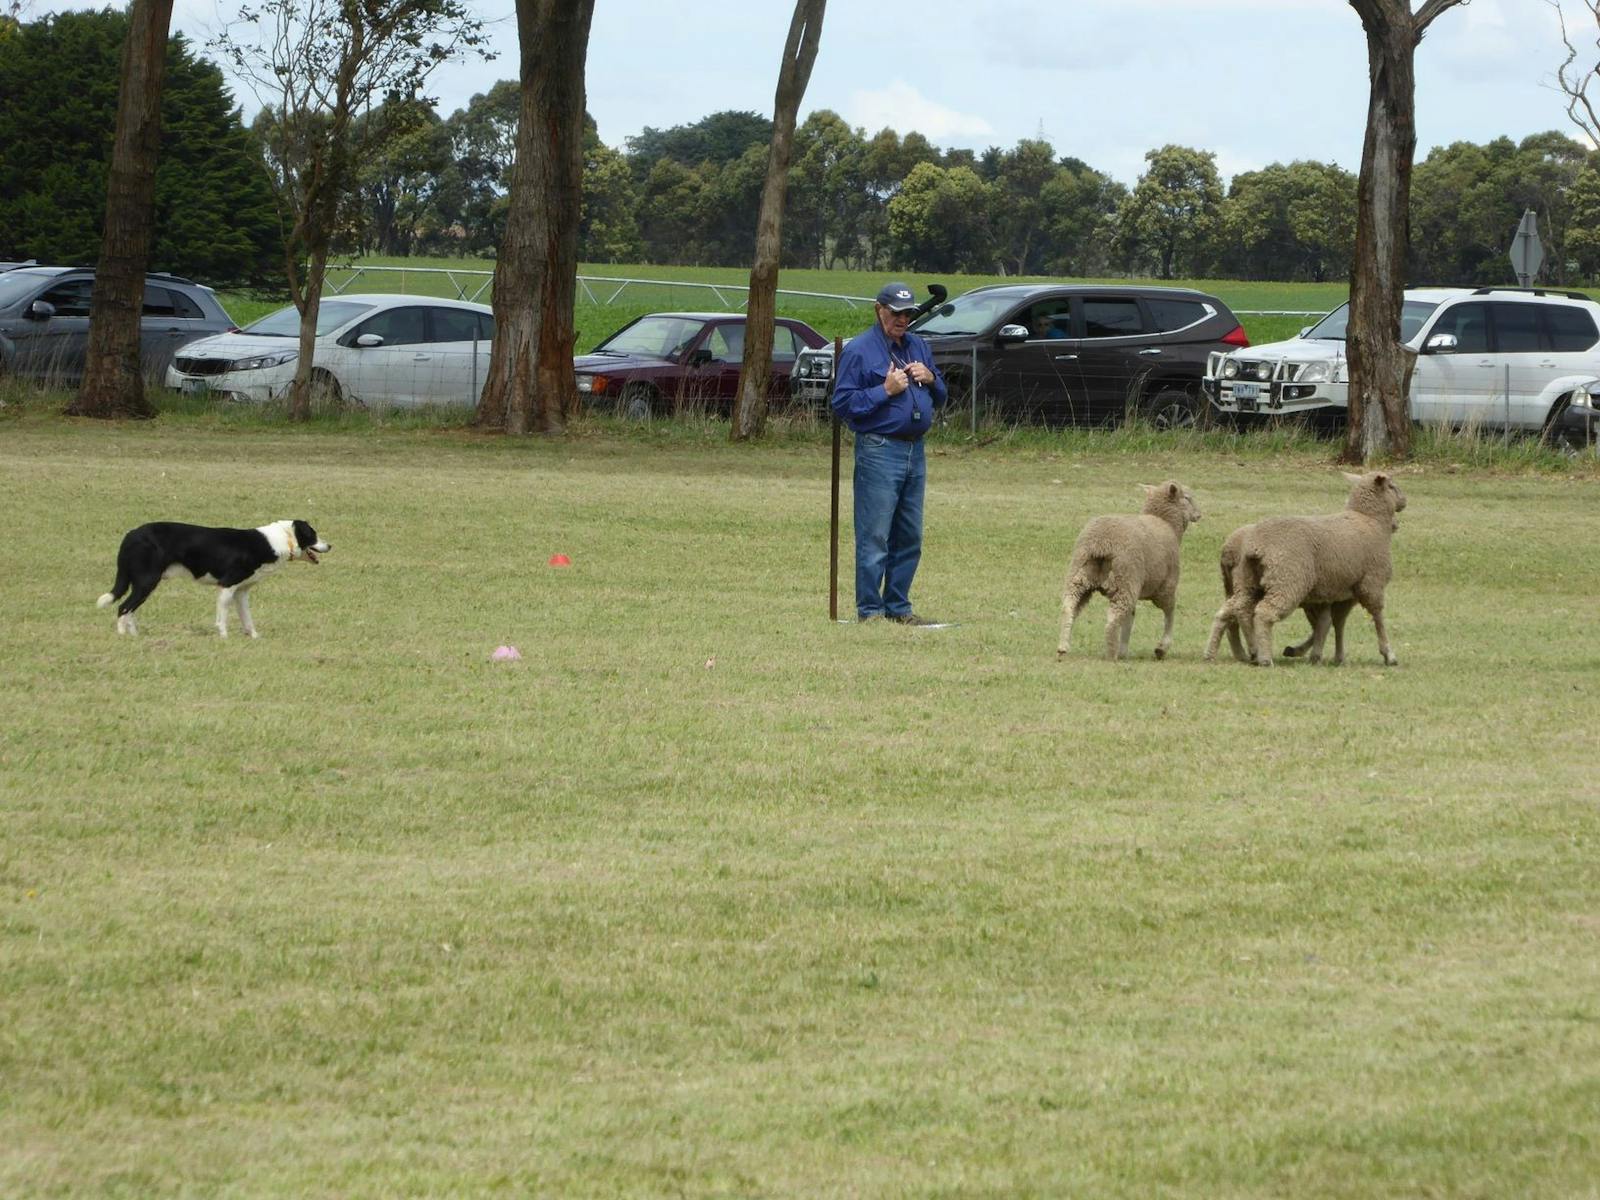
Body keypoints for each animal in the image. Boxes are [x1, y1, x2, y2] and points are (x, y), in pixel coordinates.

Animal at [1062, 483, 1203, 668]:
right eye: (1187, 497)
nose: (1199, 514)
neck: (1166, 523)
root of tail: (1101, 543)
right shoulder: (1166, 586)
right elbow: (1169, 613)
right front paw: (1162, 648)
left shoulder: (1136, 588)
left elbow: (1130, 618)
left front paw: (1124, 650)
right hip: (1125, 579)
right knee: (1112, 620)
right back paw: (1111, 654)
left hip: (1081, 575)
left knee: (1069, 606)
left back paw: (1063, 646)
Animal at [1203, 470, 1408, 672]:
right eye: (1391, 486)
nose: (1404, 500)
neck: (1370, 520)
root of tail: (1256, 545)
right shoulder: (1370, 584)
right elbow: (1376, 617)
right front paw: (1389, 655)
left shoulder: (1338, 592)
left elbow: (1333, 622)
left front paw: (1330, 656)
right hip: (1287, 581)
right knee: (1262, 613)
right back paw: (1263, 658)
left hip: (1248, 582)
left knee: (1232, 610)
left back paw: (1223, 653)